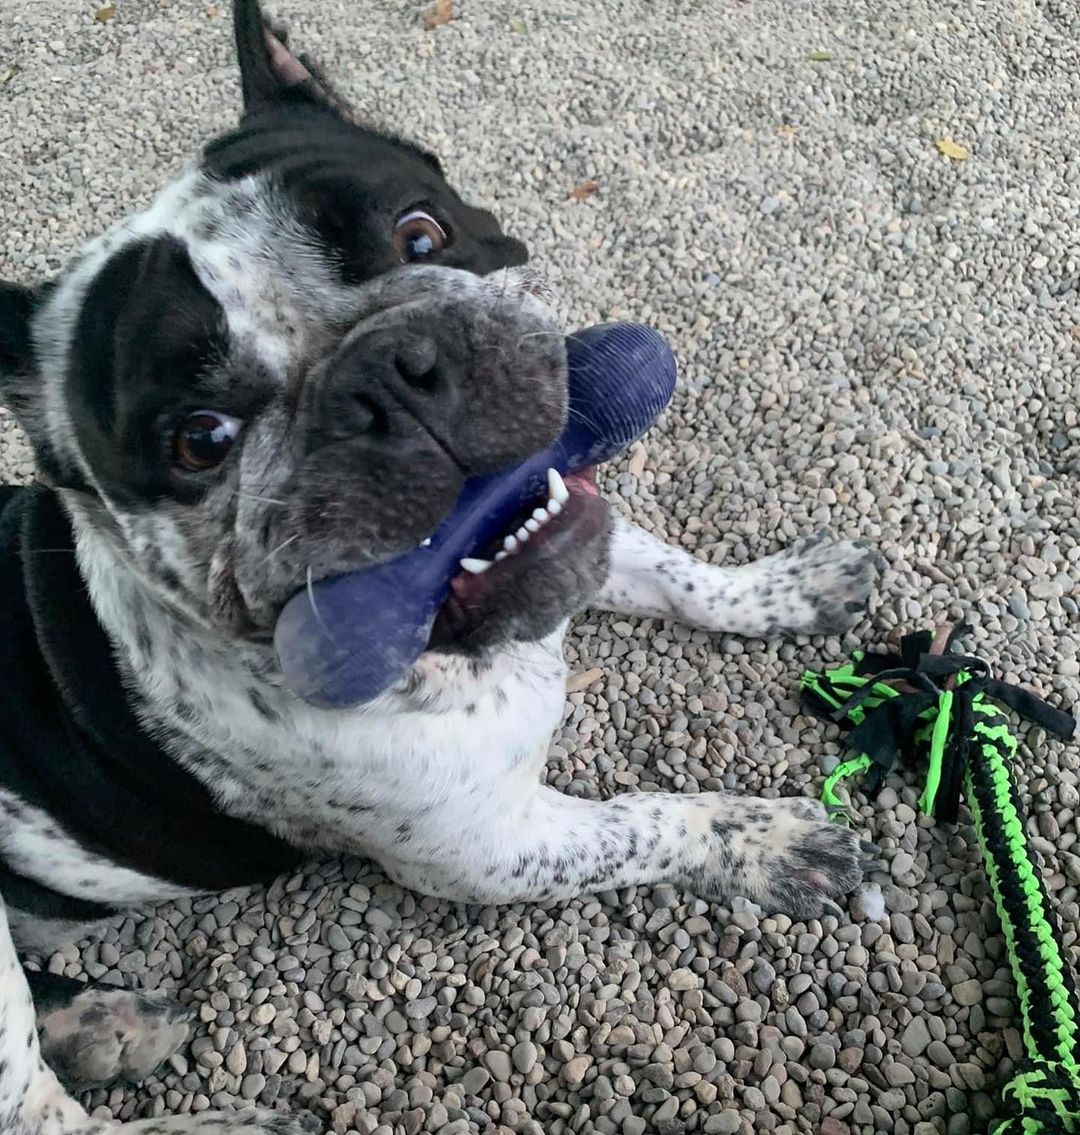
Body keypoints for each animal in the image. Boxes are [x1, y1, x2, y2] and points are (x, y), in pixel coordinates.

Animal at [0, 4, 880, 1130]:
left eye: (421, 233)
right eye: (200, 438)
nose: (384, 372)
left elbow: (677, 572)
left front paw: (785, 588)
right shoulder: (490, 849)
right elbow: (642, 820)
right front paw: (757, 838)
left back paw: (100, 1021)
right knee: (34, 1103)